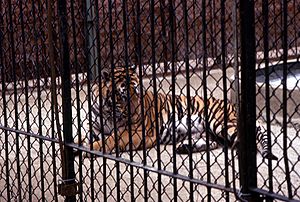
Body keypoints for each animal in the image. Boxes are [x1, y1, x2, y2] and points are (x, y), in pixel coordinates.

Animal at [78, 66, 278, 161]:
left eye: (137, 92)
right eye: (124, 95)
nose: (137, 111)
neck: (107, 111)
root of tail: (231, 104)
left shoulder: (135, 132)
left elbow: (111, 139)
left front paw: (91, 149)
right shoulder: (94, 127)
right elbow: (85, 137)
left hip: (220, 122)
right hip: (208, 131)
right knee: (215, 142)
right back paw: (184, 148)